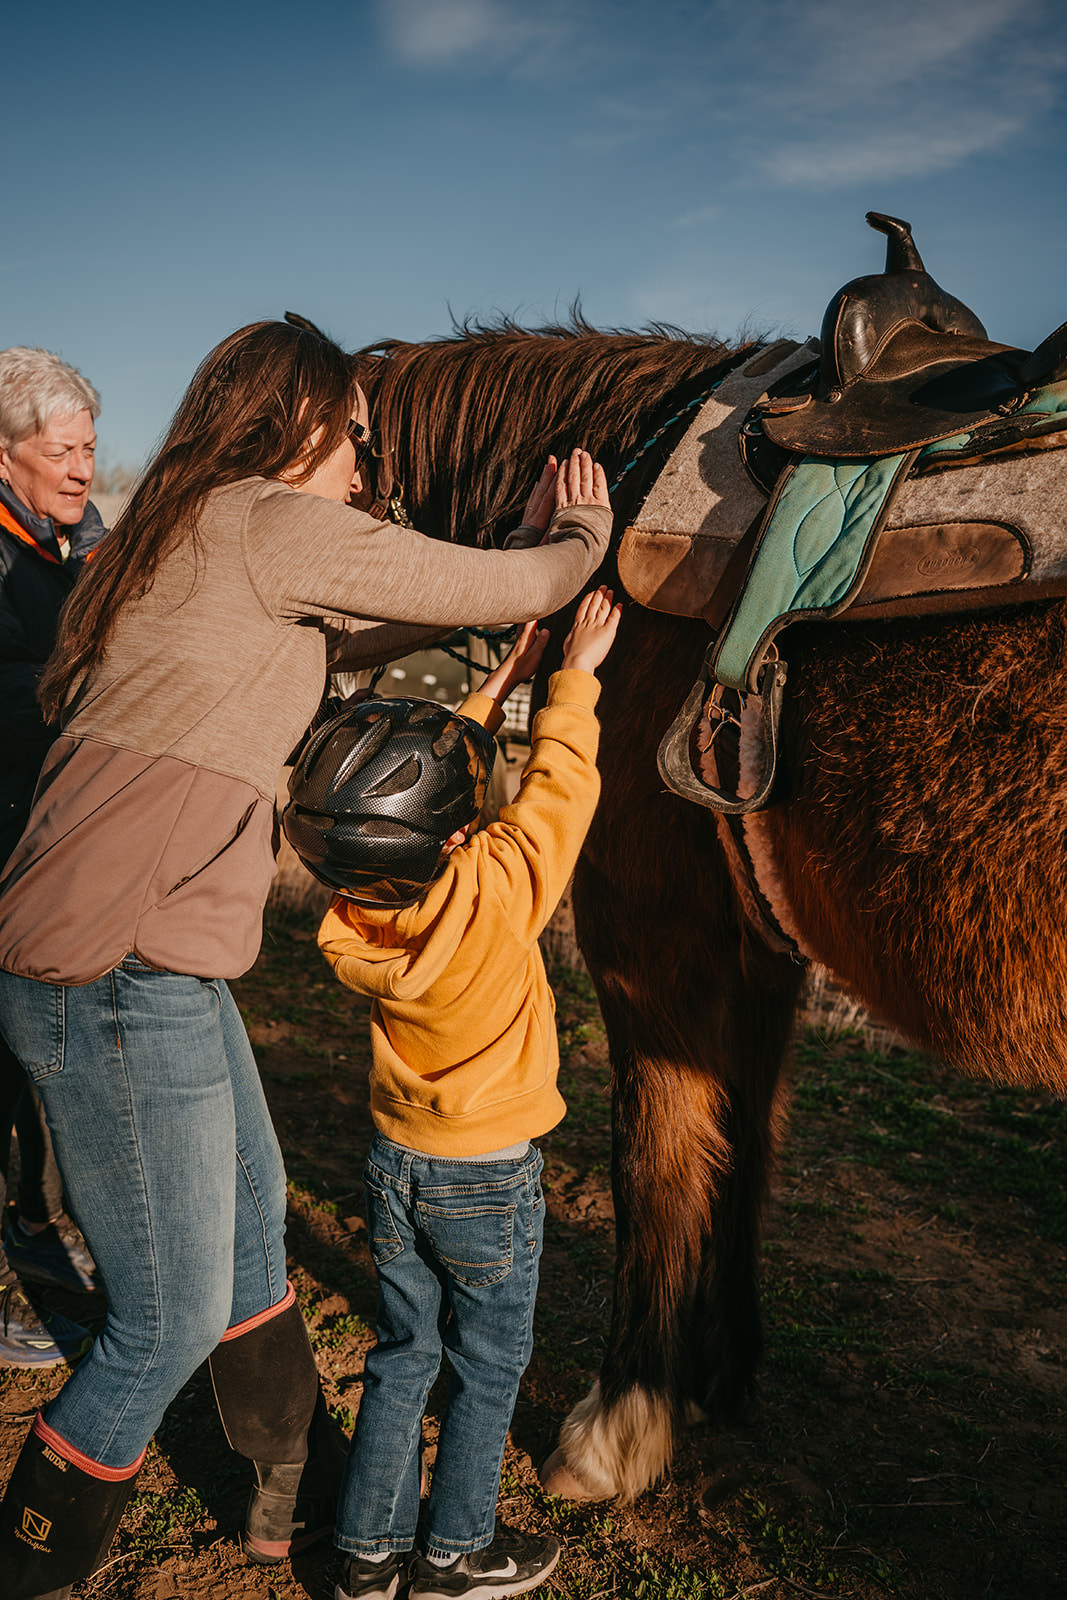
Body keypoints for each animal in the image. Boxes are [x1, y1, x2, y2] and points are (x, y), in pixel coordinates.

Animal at [348, 262, 1067, 1502]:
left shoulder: (653, 939)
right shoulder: (761, 943)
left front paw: (623, 1414)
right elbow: (746, 1145)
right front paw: (720, 1370)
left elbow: (662, 1150)